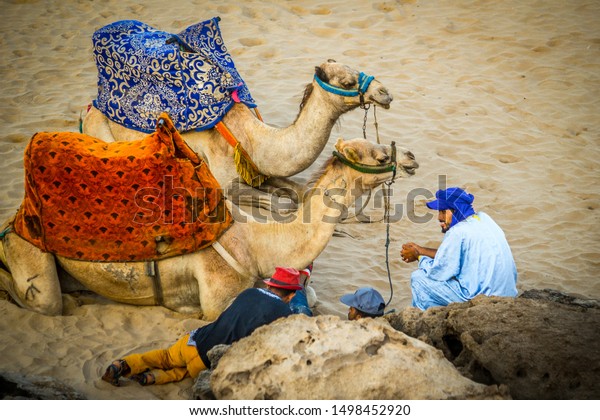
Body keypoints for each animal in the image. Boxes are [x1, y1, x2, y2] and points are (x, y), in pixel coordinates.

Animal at [0, 138, 418, 318]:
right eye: (375, 153)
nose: (411, 157)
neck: (260, 244)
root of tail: (16, 218)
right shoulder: (218, 297)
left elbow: (310, 297)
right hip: (29, 251)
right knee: (47, 300)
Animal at [83, 59, 394, 210]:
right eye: (347, 81)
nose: (385, 92)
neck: (255, 139)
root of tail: (90, 108)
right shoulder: (225, 183)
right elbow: (283, 205)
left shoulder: (261, 171)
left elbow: (298, 192)